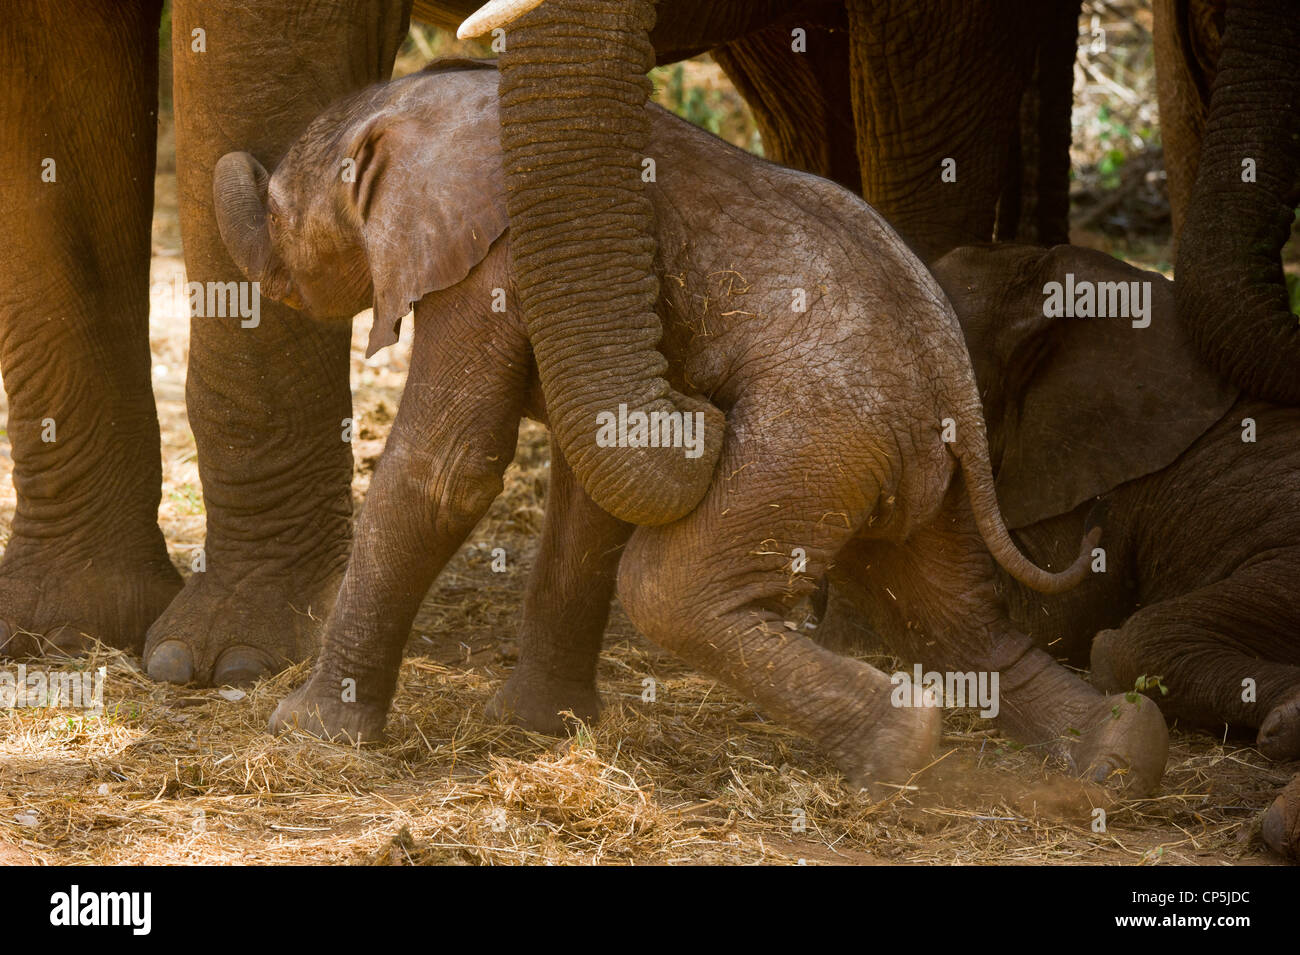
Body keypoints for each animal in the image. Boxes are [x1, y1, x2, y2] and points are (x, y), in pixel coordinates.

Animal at [213, 57, 1170, 789]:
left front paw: (304, 731)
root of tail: (956, 392)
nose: (236, 164)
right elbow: (589, 486)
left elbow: (449, 465)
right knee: (950, 619)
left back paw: (907, 748)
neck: (440, 106)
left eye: (287, 214)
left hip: (816, 433)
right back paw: (1117, 757)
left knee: (672, 588)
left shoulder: (493, 262)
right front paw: (537, 727)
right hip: (906, 468)